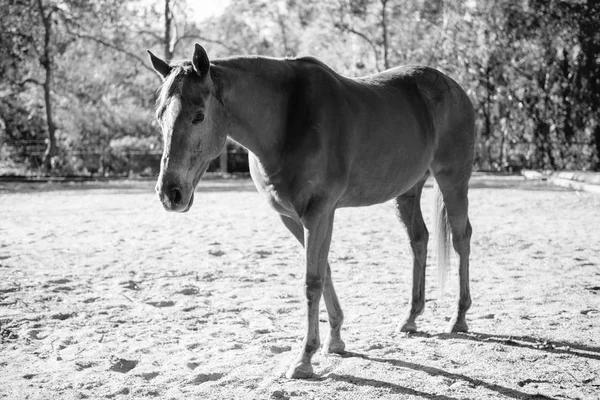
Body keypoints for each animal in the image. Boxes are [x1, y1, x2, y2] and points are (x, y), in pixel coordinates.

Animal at [145, 43, 474, 378]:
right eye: (160, 116)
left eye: (199, 116)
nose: (170, 193)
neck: (288, 119)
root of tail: (454, 87)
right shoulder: (292, 218)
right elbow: (323, 270)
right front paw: (336, 338)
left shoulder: (319, 213)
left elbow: (311, 281)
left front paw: (304, 358)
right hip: (407, 192)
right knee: (419, 240)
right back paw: (411, 317)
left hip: (453, 182)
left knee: (461, 238)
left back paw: (458, 317)